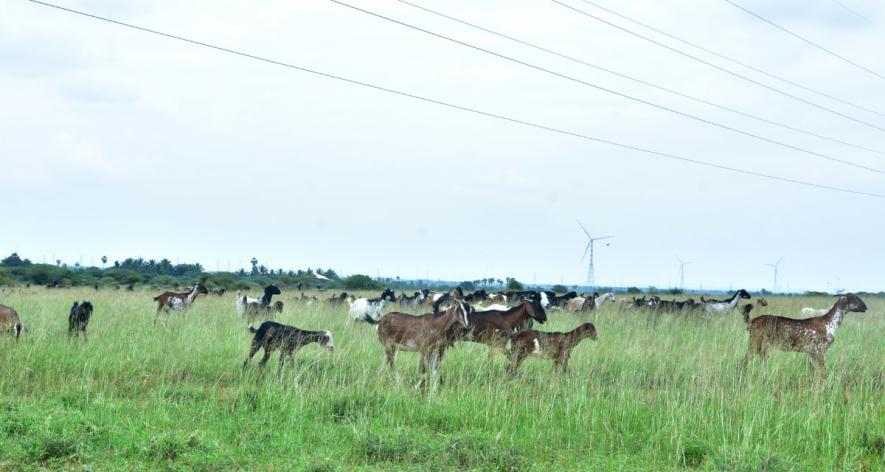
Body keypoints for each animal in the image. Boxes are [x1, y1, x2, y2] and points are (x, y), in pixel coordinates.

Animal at [736, 292, 868, 376]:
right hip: (757, 345)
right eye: (855, 299)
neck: (829, 323)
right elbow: (823, 373)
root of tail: (752, 321)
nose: (865, 307)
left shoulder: (811, 353)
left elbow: (813, 374)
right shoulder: (820, 351)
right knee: (745, 363)